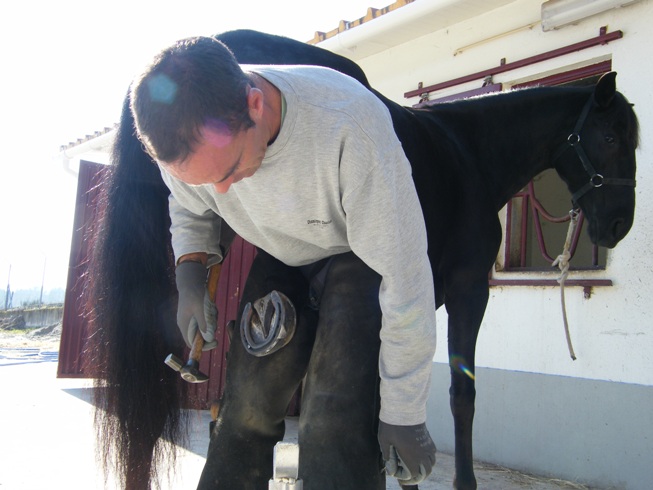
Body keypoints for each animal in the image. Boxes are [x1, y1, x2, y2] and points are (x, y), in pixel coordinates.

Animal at [86, 28, 636, 488]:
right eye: (611, 138)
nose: (618, 226)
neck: (470, 153)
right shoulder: (469, 287)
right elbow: (462, 397)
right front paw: (461, 481)